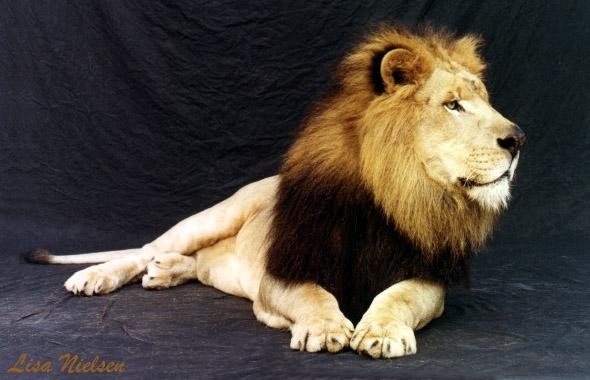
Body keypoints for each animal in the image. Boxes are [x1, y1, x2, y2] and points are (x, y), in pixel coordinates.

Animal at [26, 26, 528, 360]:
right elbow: (311, 295)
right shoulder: (283, 268)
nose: (518, 139)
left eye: (484, 100)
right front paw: (323, 328)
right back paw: (96, 276)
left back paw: (166, 272)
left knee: (195, 263)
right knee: (144, 249)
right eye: (452, 105)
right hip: (217, 214)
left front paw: (382, 331)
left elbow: (399, 296)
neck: (395, 194)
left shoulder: (426, 275)